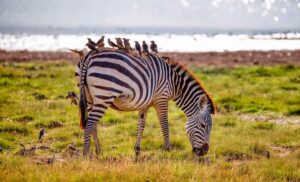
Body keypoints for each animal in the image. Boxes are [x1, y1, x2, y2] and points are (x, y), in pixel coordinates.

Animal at [74, 45, 217, 156]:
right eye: (203, 126)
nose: (204, 152)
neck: (174, 82)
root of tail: (90, 55)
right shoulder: (161, 98)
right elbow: (164, 124)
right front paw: (168, 149)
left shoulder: (145, 103)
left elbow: (141, 125)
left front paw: (137, 150)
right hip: (103, 96)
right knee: (90, 124)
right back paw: (86, 154)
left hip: (90, 98)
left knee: (93, 124)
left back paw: (99, 151)